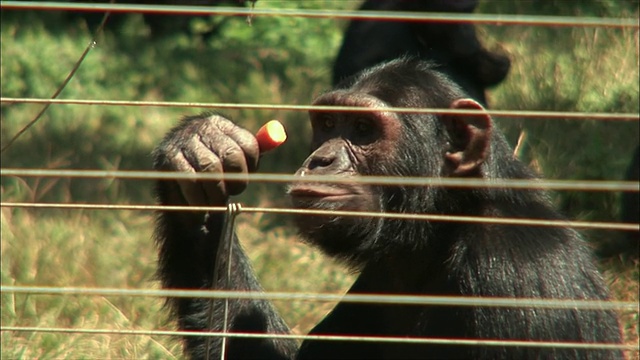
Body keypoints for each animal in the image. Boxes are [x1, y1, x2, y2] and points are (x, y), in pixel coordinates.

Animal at [152, 57, 624, 358]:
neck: (439, 228)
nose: (321, 159)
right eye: (328, 124)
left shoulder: (518, 272)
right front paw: (199, 147)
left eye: (363, 129)